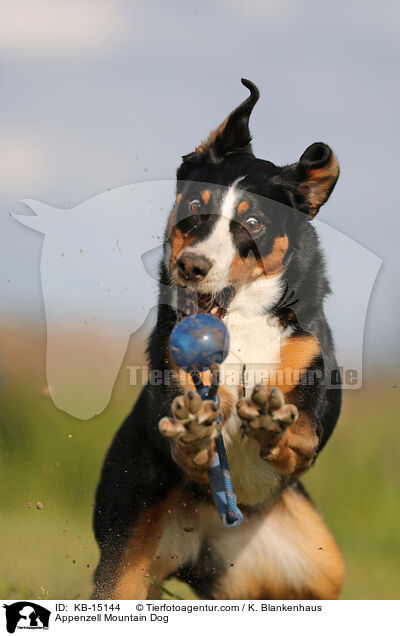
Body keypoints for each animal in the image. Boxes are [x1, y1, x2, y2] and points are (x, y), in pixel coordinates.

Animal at [93, 79, 344, 600]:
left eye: (253, 223)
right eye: (194, 206)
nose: (192, 265)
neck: (239, 321)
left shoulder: (308, 387)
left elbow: (299, 431)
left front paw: (269, 419)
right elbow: (195, 429)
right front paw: (197, 423)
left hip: (320, 565)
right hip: (125, 556)